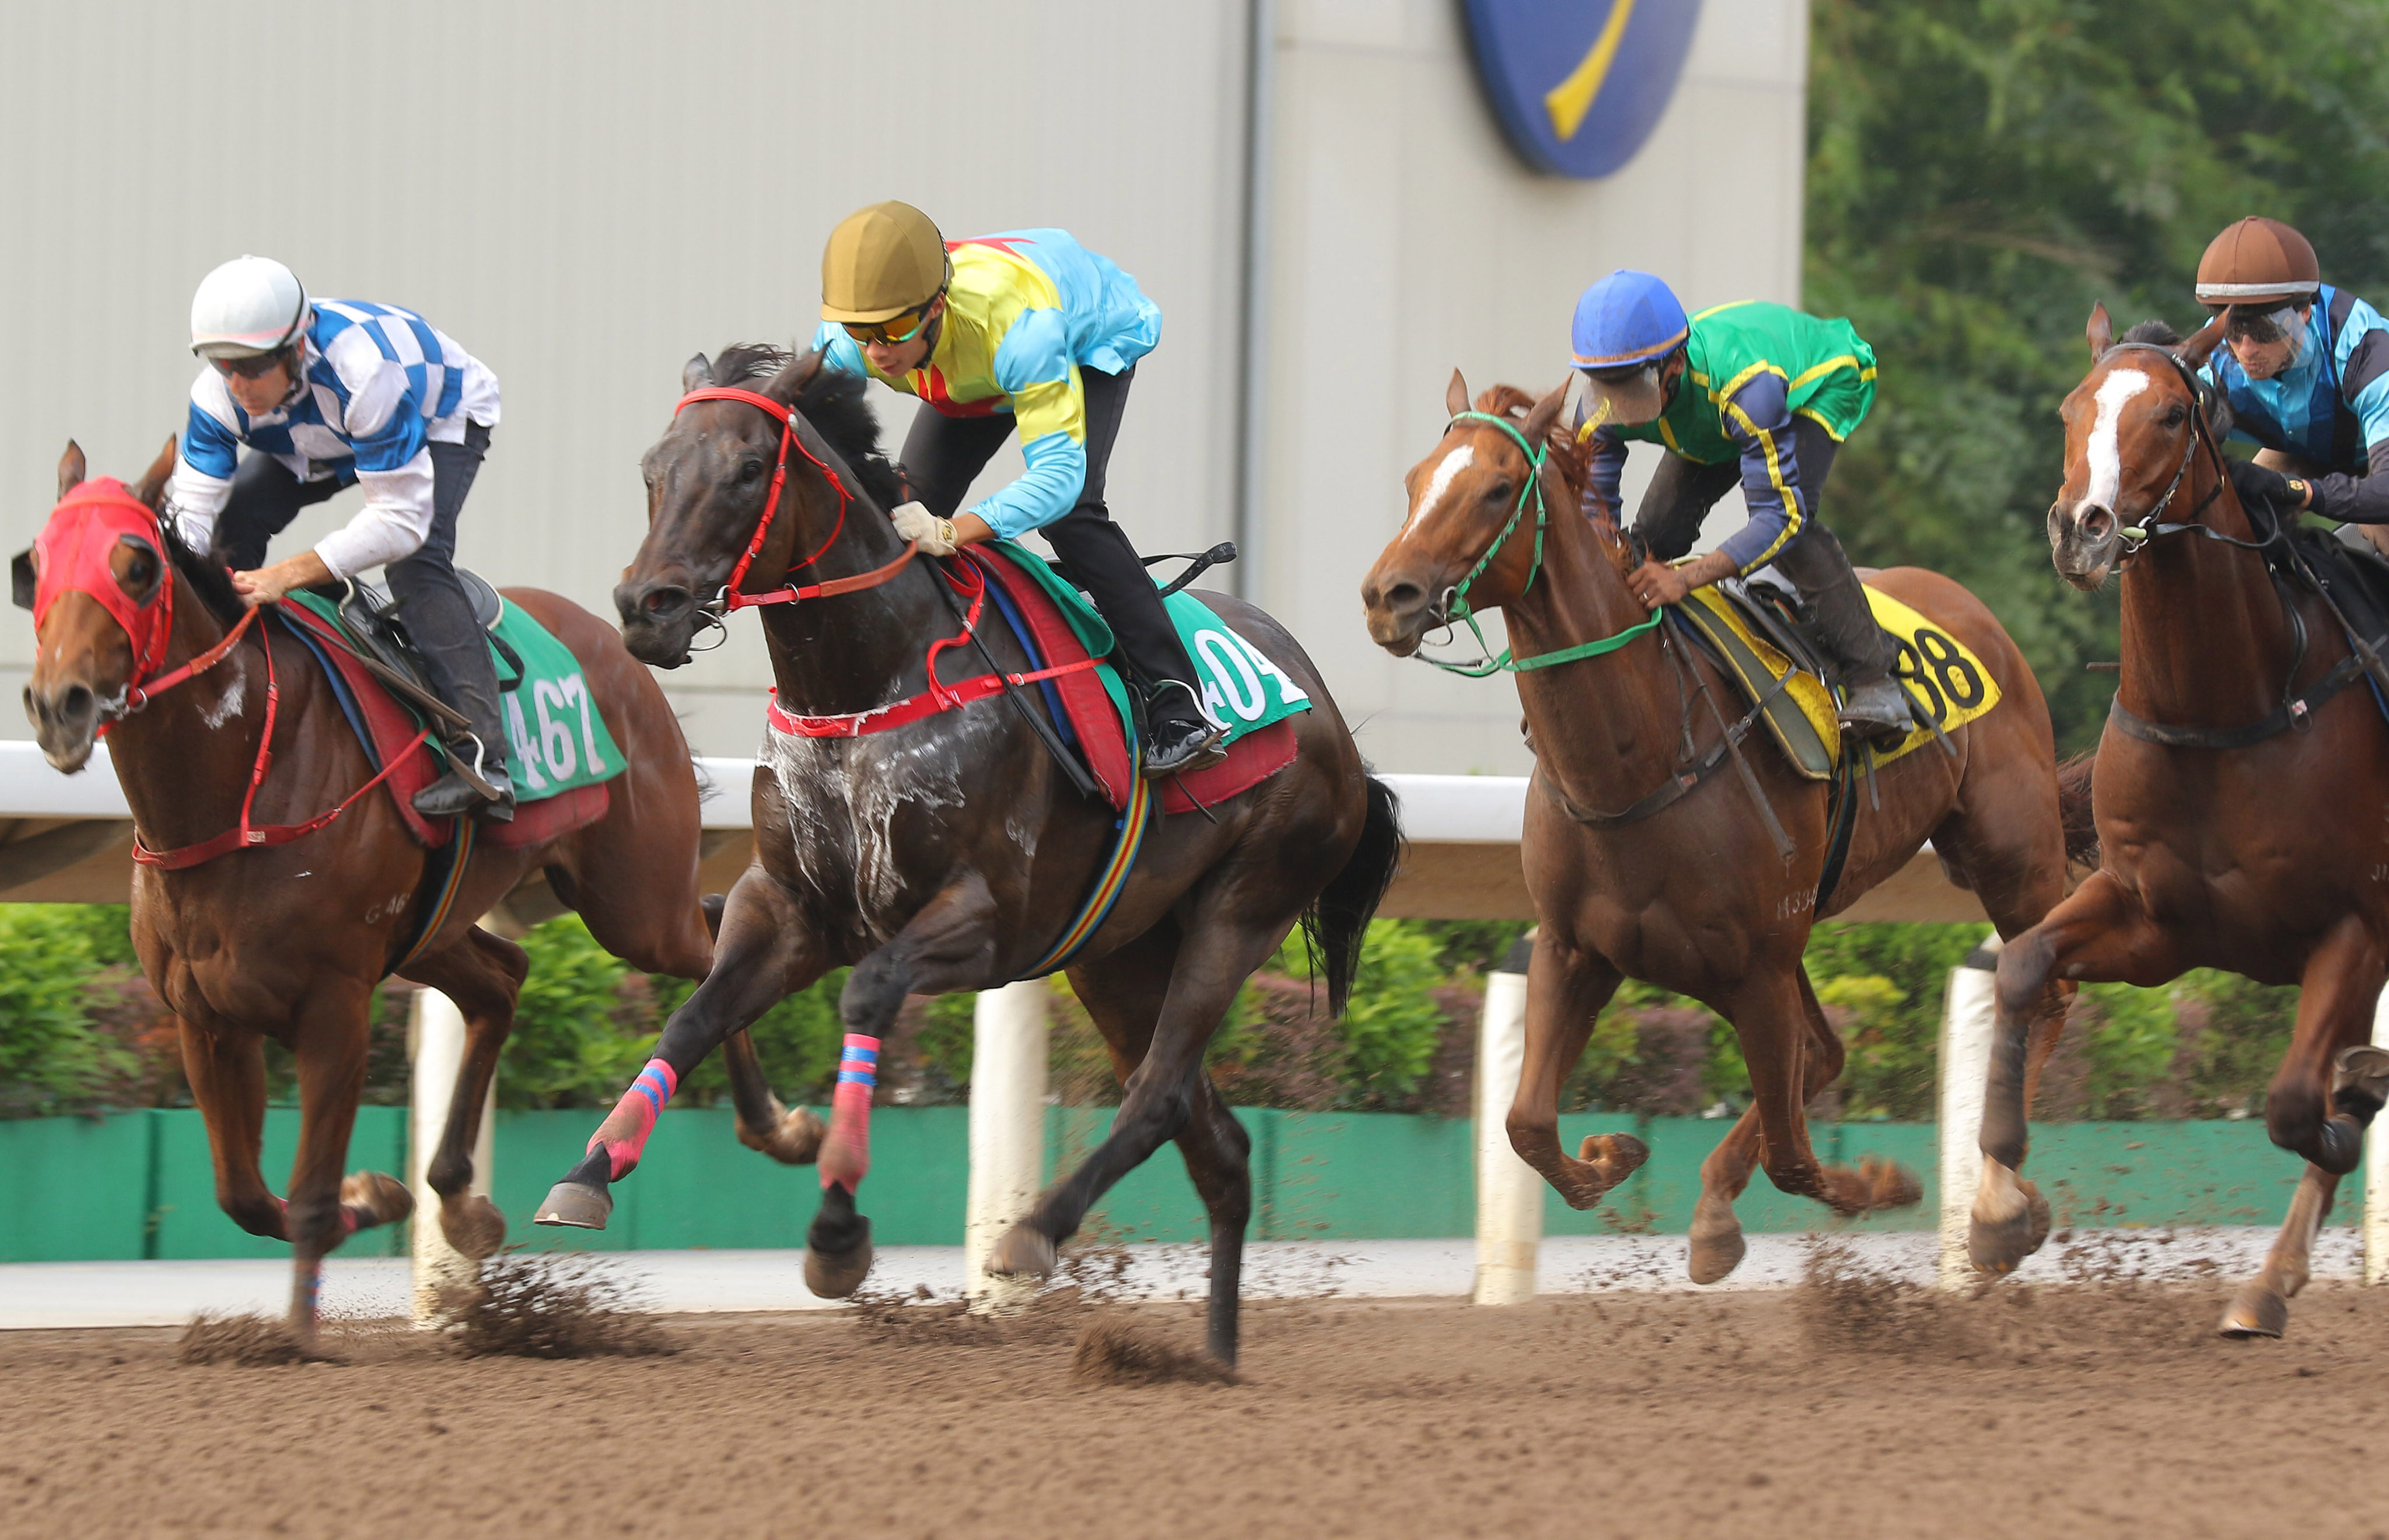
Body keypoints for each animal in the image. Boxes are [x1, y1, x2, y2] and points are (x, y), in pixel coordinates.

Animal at [16, 439, 821, 1337]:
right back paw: (461, 1200)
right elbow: (243, 1196)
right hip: (432, 930)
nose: (57, 705)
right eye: (33, 567)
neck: (237, 792)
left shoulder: (333, 1005)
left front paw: (302, 1334)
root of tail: (620, 645)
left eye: (137, 566)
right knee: (504, 981)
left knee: (711, 937)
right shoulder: (205, 1014)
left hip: (632, 898)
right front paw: (378, 1196)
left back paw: (776, 1128)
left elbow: (304, 1199)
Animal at [537, 346, 1395, 1356]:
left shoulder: (983, 921)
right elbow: (691, 1016)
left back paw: (1031, 1232)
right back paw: (1214, 1359)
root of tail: (1325, 709)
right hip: (1118, 954)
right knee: (1213, 1140)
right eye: (653, 469)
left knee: (1157, 1093)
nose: (647, 606)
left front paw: (837, 1231)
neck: (866, 680)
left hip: (1242, 908)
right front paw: (589, 1174)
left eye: (748, 470)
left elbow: (867, 995)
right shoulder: (786, 905)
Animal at [1366, 377, 2093, 1279]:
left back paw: (1998, 1206)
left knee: (2043, 989)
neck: (1640, 760)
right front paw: (1614, 1157)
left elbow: (1794, 1156)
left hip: (2007, 852)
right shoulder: (1579, 948)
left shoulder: (1756, 968)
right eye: (1413, 481)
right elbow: (1526, 1123)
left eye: (1497, 489)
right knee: (1829, 1050)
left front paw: (1883, 1185)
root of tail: (1971, 608)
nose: (1386, 596)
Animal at [1988, 303, 2389, 1337]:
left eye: (2172, 414)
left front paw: (2345, 1110)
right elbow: (2022, 968)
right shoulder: (2155, 921)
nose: (2079, 530)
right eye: (2071, 407)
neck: (2224, 708)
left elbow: (2293, 1105)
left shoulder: (2354, 929)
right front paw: (1997, 1213)